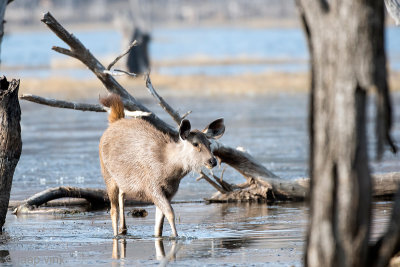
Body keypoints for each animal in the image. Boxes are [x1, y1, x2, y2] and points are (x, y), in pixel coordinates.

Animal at [98, 95, 223, 238]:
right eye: (195, 144)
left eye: (209, 143)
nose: (212, 161)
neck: (170, 170)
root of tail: (114, 121)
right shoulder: (152, 187)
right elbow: (170, 213)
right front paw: (176, 236)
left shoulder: (169, 191)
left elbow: (159, 225)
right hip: (108, 176)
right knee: (113, 210)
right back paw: (116, 233)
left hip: (123, 180)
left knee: (122, 195)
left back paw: (123, 229)